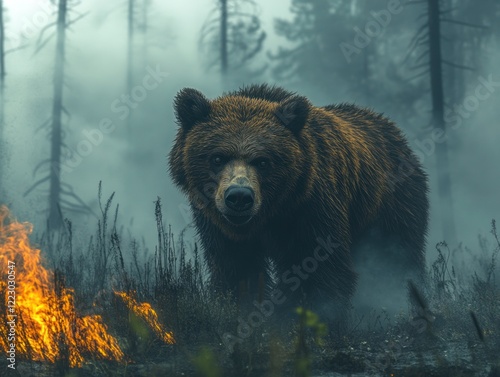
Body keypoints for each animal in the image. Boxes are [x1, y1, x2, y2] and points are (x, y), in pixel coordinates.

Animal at [170, 83, 428, 316]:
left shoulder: (312, 209)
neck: (272, 213)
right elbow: (236, 269)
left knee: (400, 256)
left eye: (263, 161)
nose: (239, 197)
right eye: (217, 157)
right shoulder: (218, 225)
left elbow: (321, 269)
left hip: (391, 206)